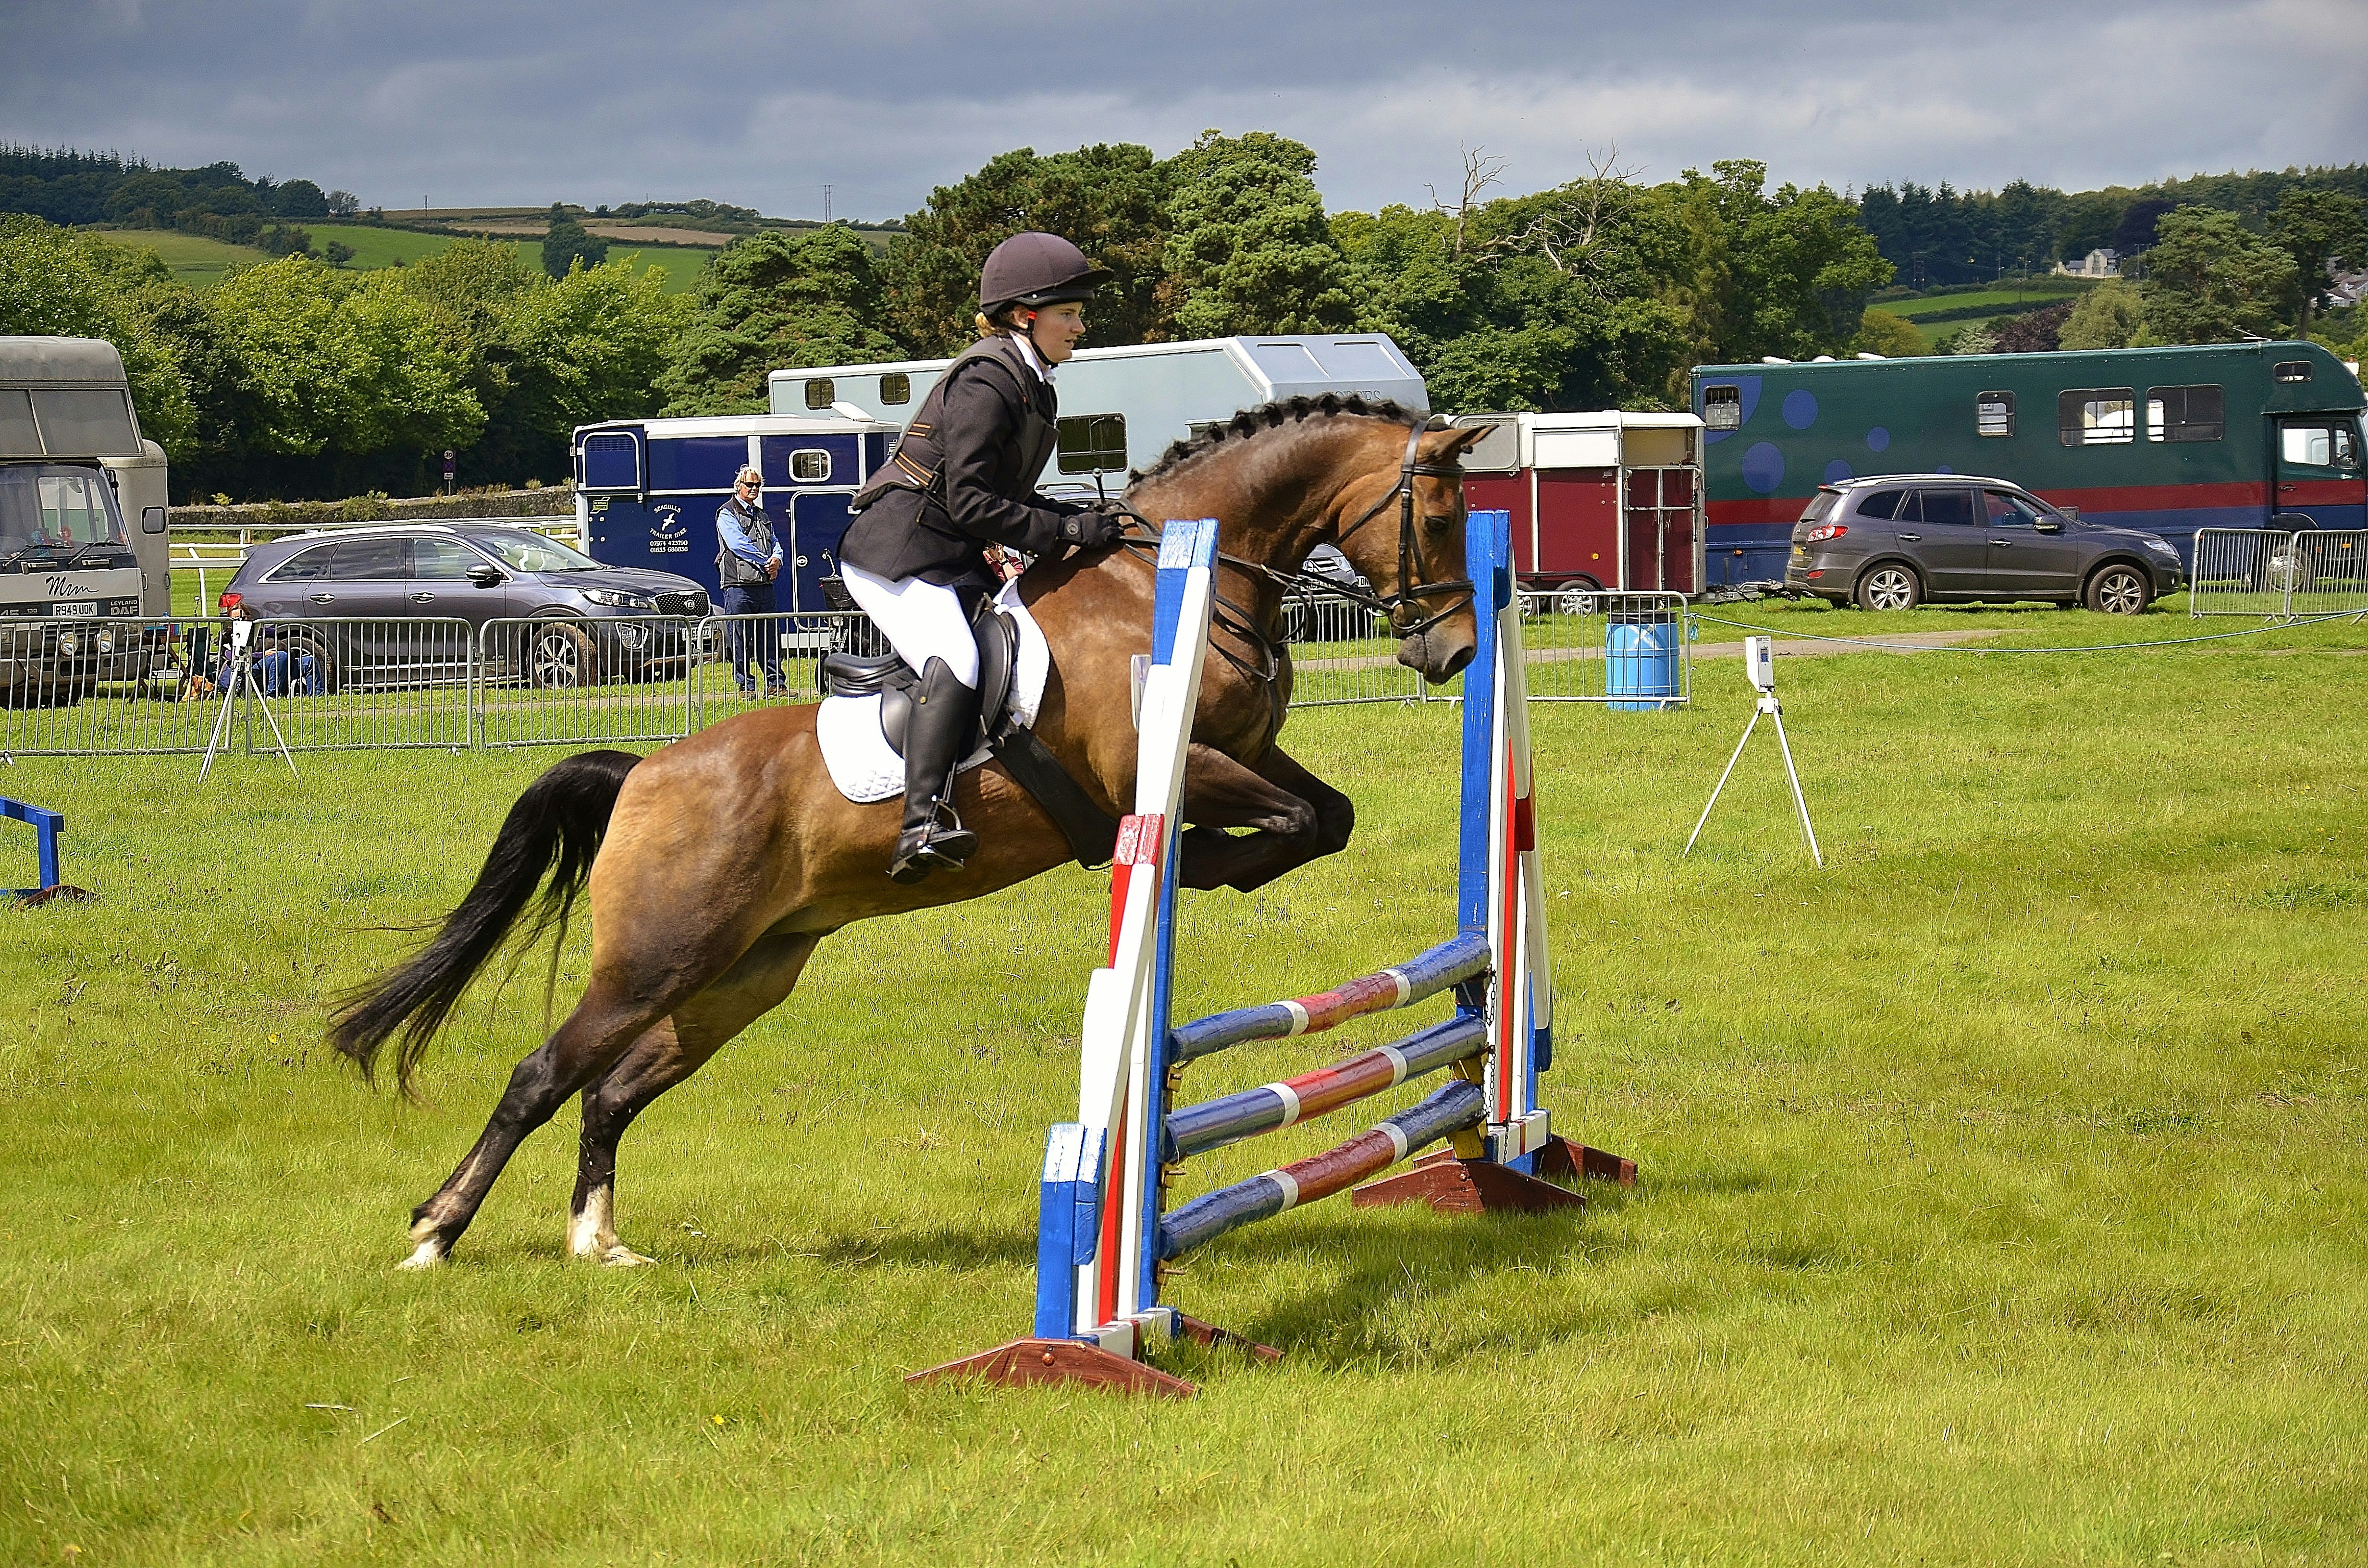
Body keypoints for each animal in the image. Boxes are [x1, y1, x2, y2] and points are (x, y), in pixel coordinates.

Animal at [332, 397, 1488, 1269]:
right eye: (1437, 515)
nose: (1453, 655)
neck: (1173, 586)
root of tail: (643, 774)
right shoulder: (1165, 765)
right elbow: (1282, 819)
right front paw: (1195, 864)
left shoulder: (1248, 752)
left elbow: (1325, 816)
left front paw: (1207, 866)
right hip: (655, 958)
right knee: (542, 1074)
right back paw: (435, 1234)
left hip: (740, 974)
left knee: (612, 1089)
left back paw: (598, 1242)